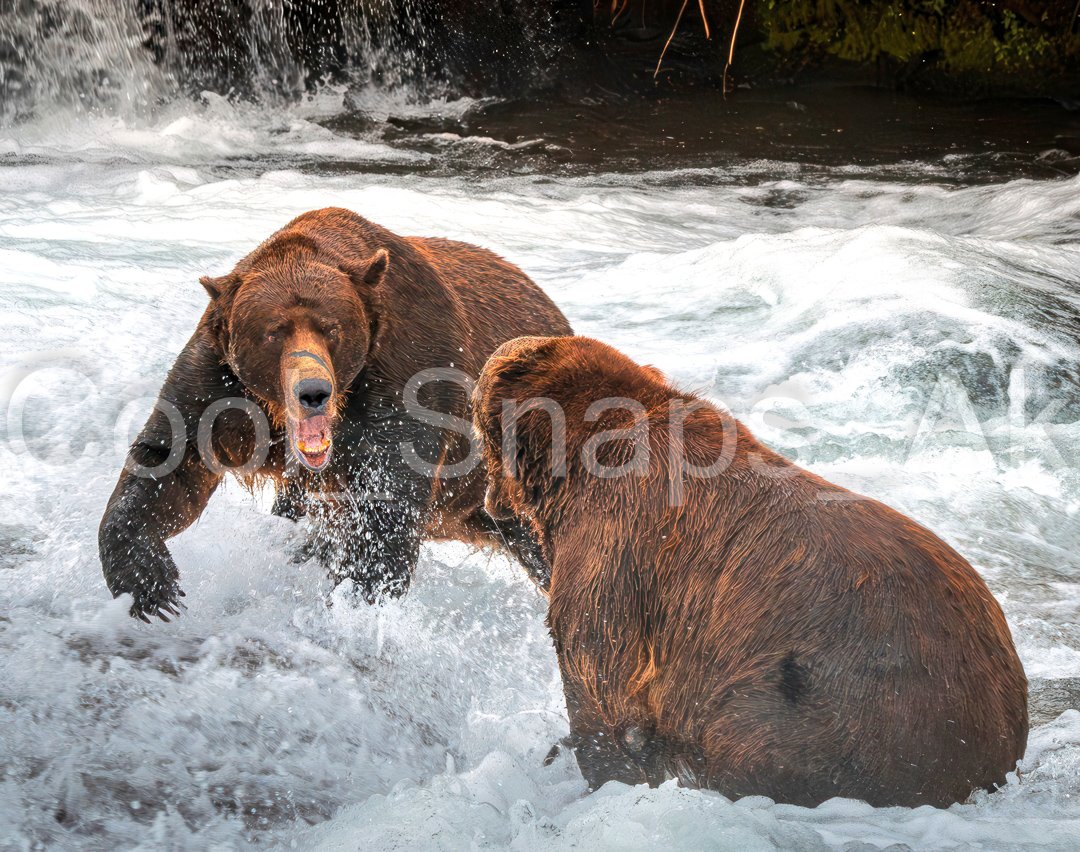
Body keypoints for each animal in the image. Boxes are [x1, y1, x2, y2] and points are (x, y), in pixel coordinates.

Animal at [99, 207, 572, 621]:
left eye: (331, 328)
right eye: (273, 331)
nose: (313, 392)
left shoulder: (410, 377)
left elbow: (384, 515)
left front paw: (351, 600)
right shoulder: (222, 386)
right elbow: (170, 461)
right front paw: (152, 586)